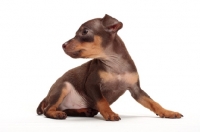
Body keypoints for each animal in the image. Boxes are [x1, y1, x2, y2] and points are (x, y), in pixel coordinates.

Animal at [36, 14, 183, 120]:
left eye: (85, 32)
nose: (63, 45)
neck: (114, 63)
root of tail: (46, 98)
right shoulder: (92, 85)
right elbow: (102, 101)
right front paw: (110, 113)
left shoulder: (136, 90)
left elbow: (153, 103)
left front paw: (168, 112)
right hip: (63, 86)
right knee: (48, 110)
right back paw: (57, 114)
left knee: (65, 109)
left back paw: (84, 111)